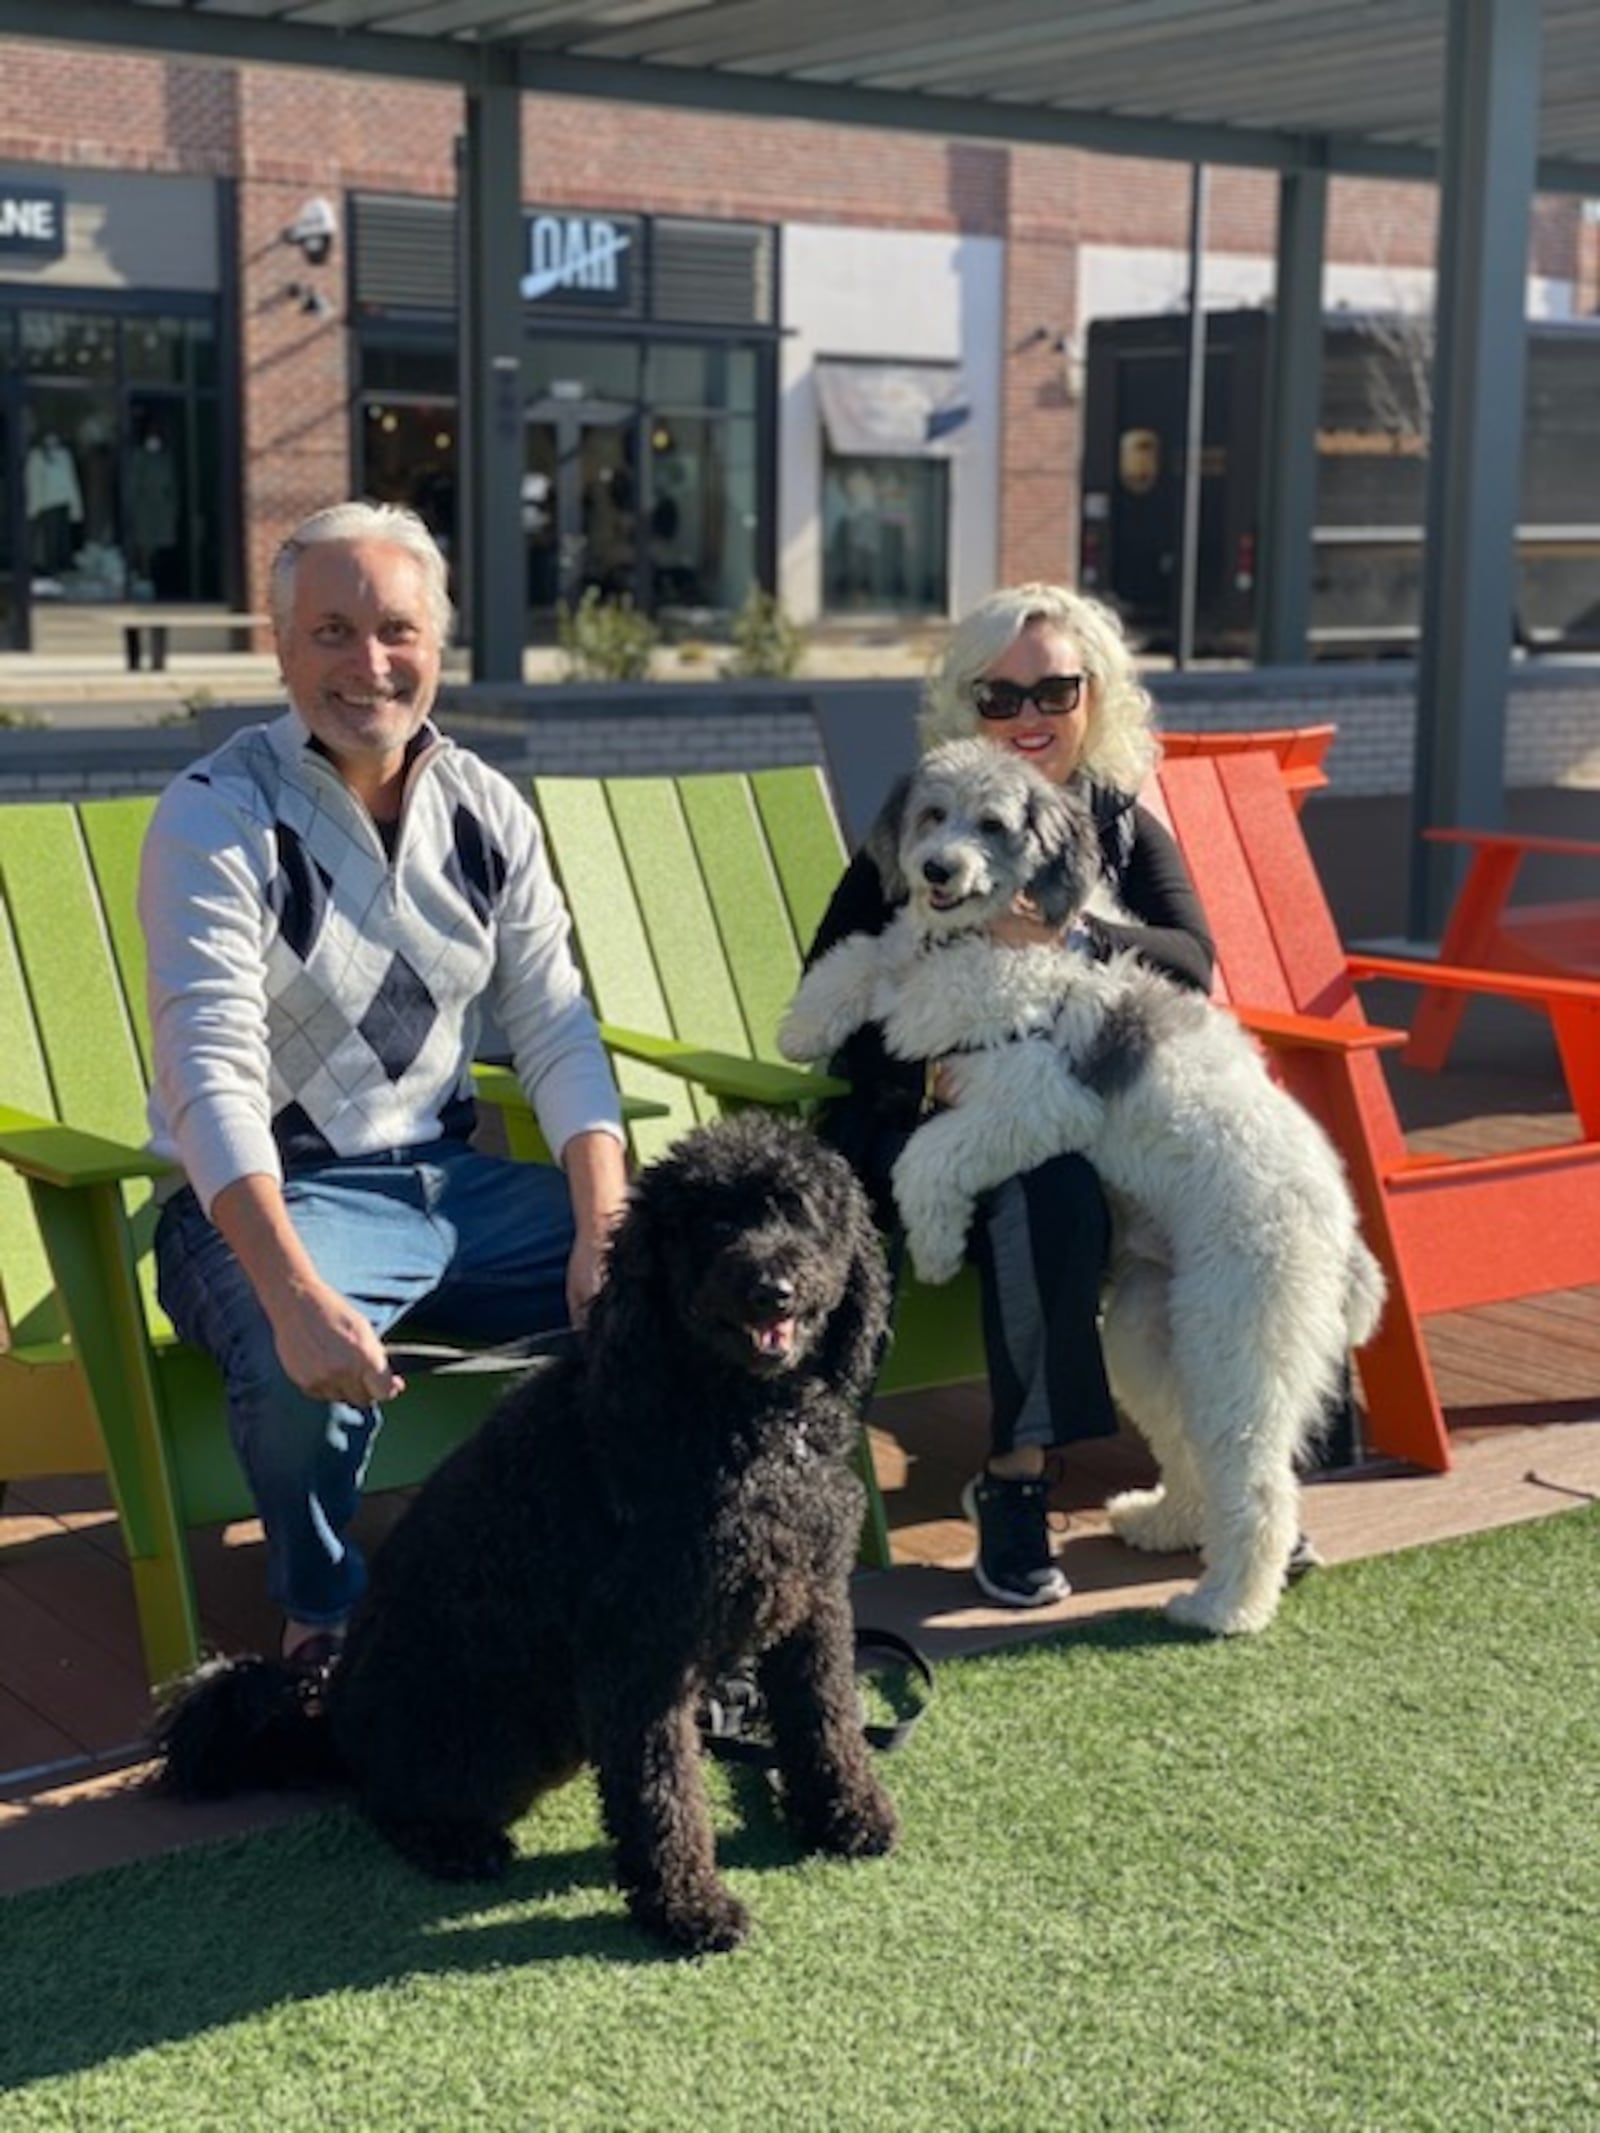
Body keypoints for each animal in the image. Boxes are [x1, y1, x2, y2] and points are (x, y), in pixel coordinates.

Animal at [151, 1117, 904, 1962]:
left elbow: (827, 1721)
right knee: (388, 1800)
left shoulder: (812, 1609)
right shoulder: (635, 1653)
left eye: (799, 1211)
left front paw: (848, 1815)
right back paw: (453, 1842)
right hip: (489, 1732)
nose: (771, 1289)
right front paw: (686, 1906)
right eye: (711, 1223)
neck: (742, 1419)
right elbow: (662, 1791)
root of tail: (330, 1729)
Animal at [785, 738, 1382, 1629]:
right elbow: (867, 951)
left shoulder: (1037, 1095)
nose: (935, 869)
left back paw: (1224, 1605)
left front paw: (934, 1244)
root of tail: (1340, 1230)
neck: (991, 938)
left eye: (992, 824)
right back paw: (1164, 1521)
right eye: (933, 814)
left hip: (1235, 1336)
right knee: (1188, 1446)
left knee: (1259, 1486)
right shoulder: (916, 966)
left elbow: (926, 1149)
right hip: (1147, 1331)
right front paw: (803, 1021)